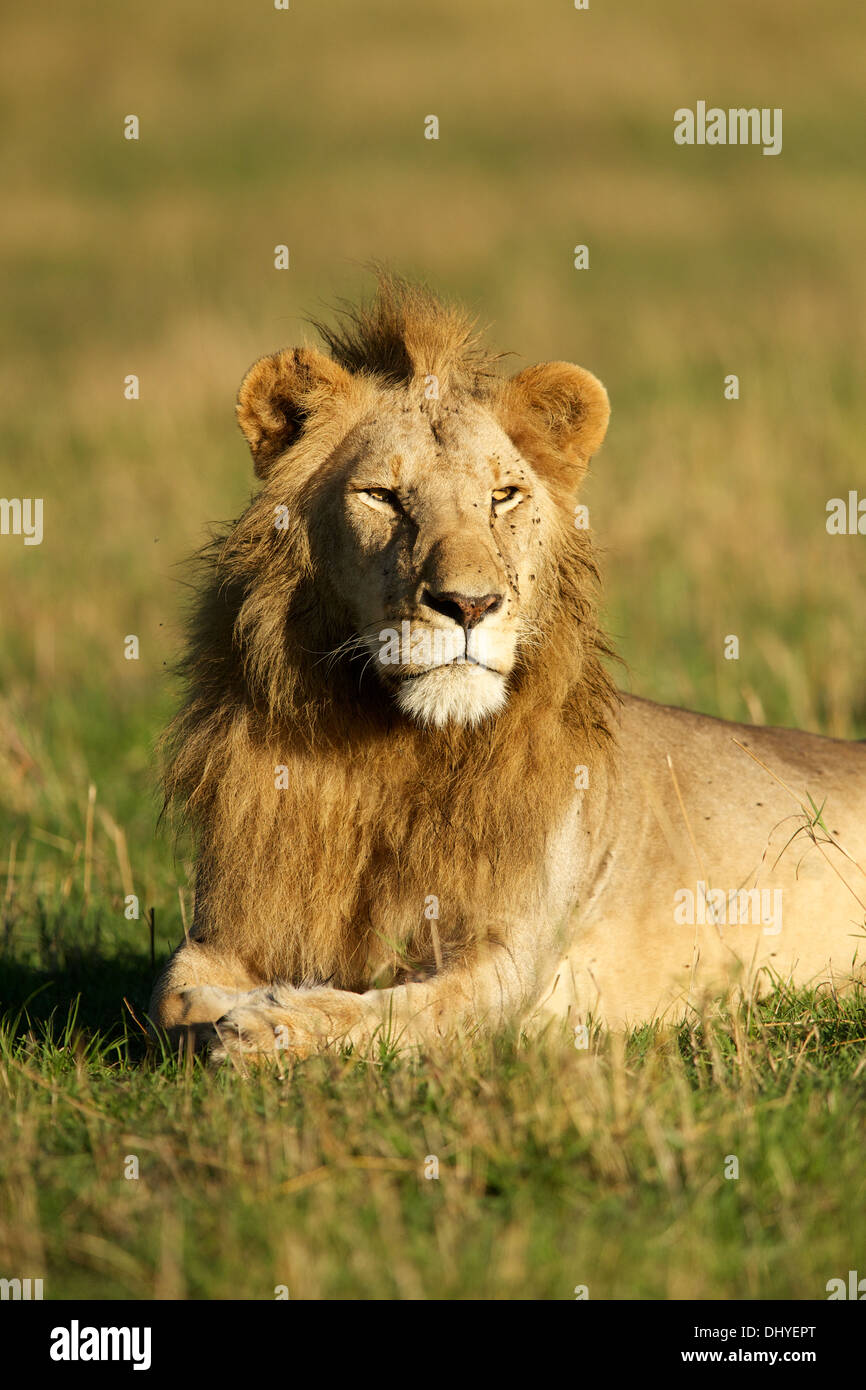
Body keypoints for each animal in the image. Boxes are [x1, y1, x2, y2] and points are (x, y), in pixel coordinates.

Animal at [150, 271, 866, 1056]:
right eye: (382, 496)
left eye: (503, 495)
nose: (470, 604)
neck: (390, 753)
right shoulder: (227, 923)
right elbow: (170, 995)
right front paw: (233, 1009)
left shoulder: (508, 967)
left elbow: (394, 1012)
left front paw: (272, 1022)